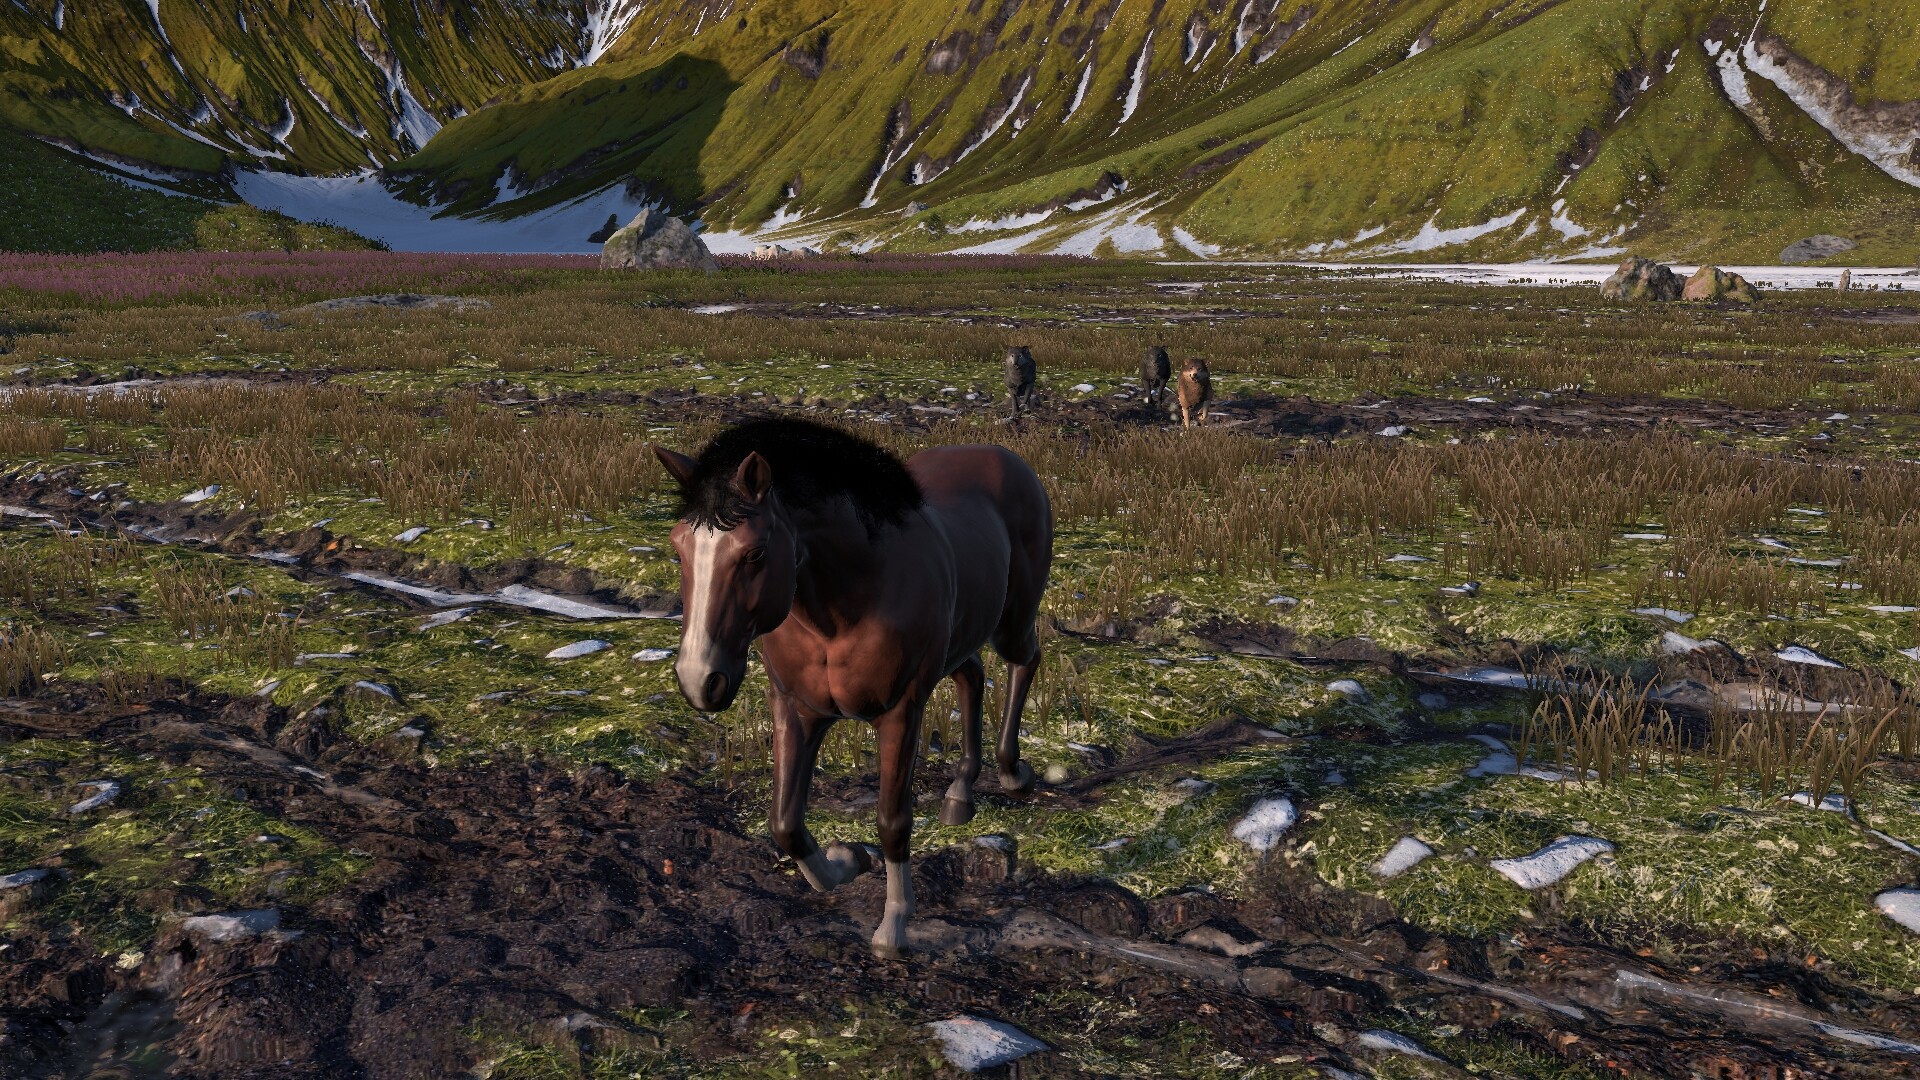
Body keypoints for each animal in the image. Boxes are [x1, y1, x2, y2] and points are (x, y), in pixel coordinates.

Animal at [653, 417, 1054, 958]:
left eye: (754, 553)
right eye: (679, 550)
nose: (700, 680)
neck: (845, 604)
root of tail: (1005, 457)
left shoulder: (902, 711)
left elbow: (892, 820)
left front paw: (893, 926)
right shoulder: (795, 709)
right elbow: (785, 824)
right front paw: (849, 859)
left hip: (1012, 622)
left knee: (1024, 661)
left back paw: (1013, 773)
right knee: (971, 675)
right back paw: (959, 795)